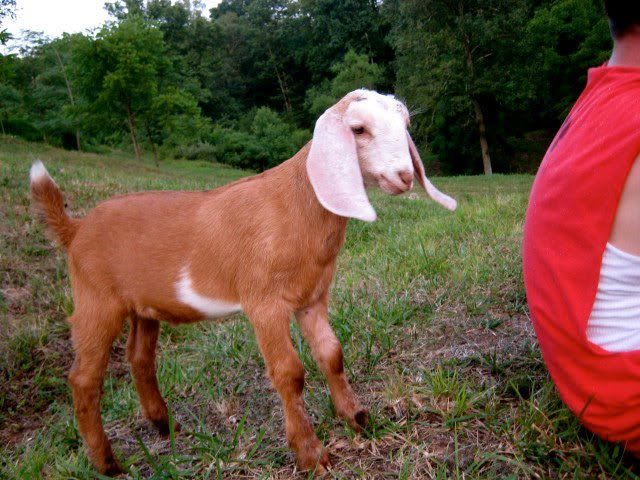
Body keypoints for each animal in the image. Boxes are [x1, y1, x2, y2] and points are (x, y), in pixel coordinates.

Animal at [30, 89, 456, 475]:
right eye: (358, 129)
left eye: (405, 124)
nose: (404, 177)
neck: (296, 204)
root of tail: (76, 228)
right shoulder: (263, 302)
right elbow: (289, 372)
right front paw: (312, 456)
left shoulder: (312, 297)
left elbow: (331, 353)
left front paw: (357, 418)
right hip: (96, 299)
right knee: (83, 379)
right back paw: (108, 463)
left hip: (142, 307)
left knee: (139, 359)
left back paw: (164, 426)